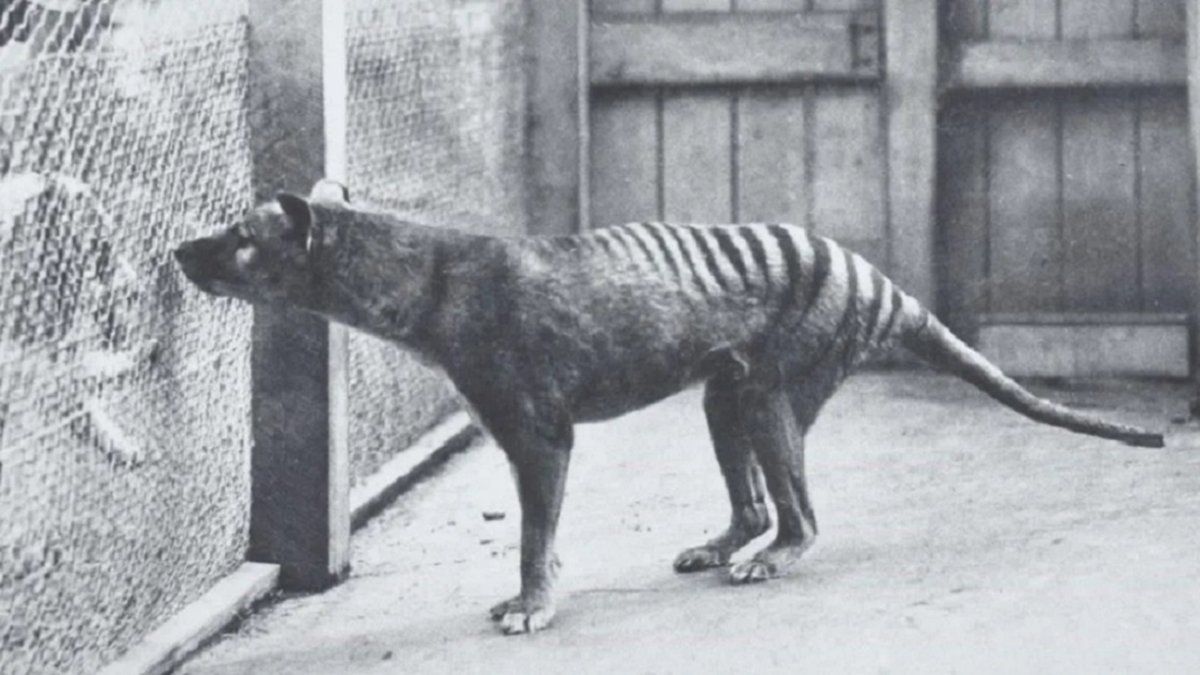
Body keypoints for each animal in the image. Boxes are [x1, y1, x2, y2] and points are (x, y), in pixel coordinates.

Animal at [173, 180, 1163, 635]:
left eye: (241, 237)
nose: (181, 251)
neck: (428, 278)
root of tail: (879, 282)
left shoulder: (539, 430)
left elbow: (533, 530)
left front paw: (531, 603)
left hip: (772, 390)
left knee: (800, 514)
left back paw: (768, 560)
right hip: (726, 393)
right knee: (755, 500)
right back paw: (724, 543)